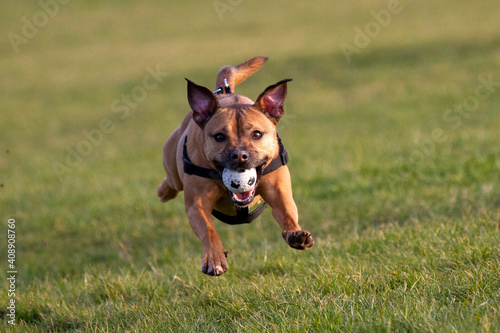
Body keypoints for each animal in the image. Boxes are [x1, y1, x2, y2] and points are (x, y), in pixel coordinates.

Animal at [157, 56, 312, 274]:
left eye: (257, 134)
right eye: (219, 136)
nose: (239, 155)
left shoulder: (279, 191)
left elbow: (288, 213)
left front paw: (295, 233)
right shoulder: (197, 205)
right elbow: (209, 230)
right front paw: (214, 258)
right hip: (173, 167)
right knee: (171, 182)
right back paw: (163, 192)